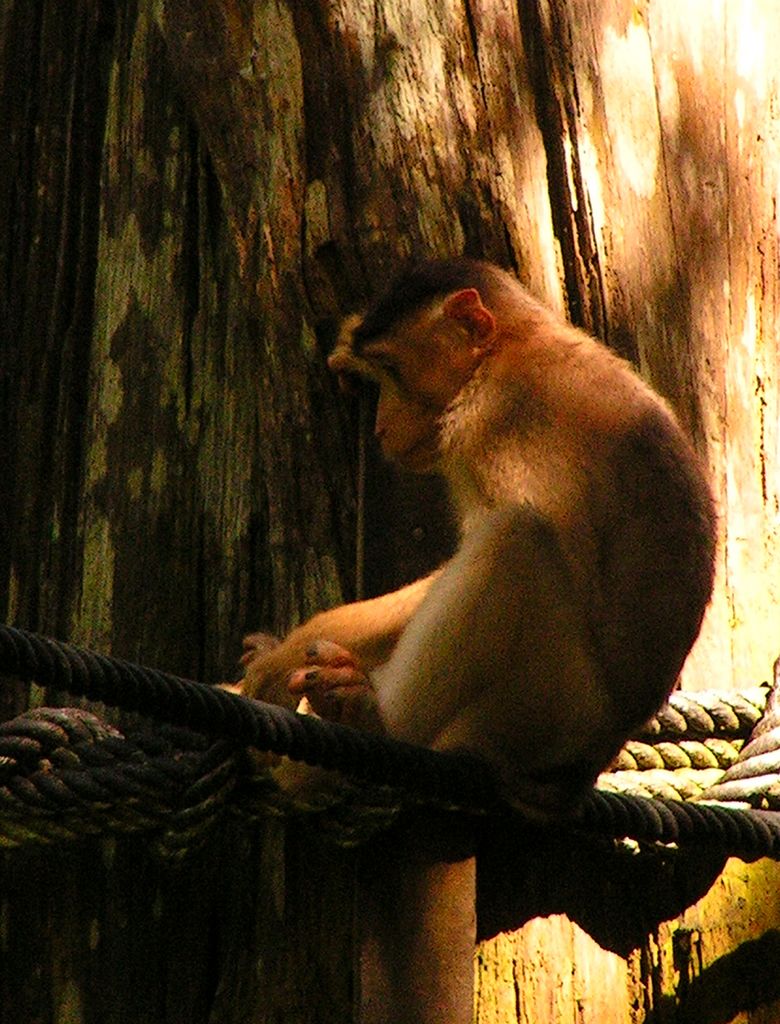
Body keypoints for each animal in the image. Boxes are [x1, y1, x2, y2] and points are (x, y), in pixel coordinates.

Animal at [240, 258, 712, 815]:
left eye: (393, 371)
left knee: (514, 539)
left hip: (545, 713)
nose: (380, 427)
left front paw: (283, 657)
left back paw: (377, 722)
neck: (512, 346)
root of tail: (577, 774)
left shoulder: (486, 423)